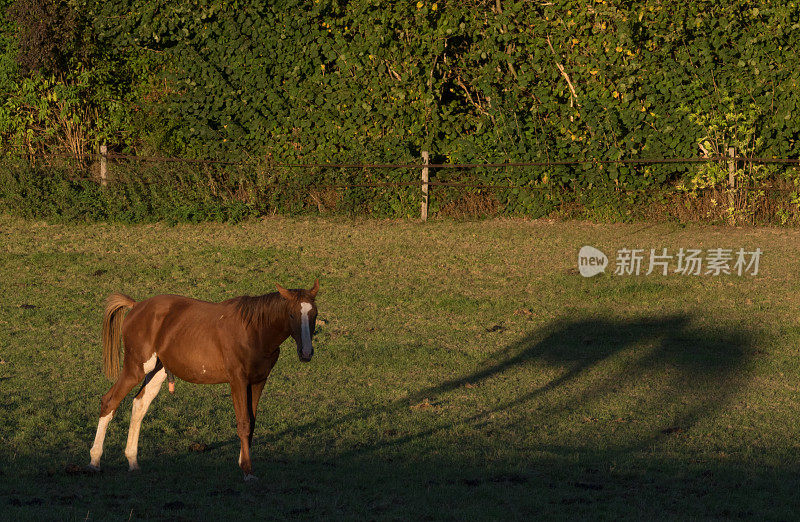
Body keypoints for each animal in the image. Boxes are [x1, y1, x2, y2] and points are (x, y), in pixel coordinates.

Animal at [88, 280, 318, 480]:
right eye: (291, 314)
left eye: (314, 314)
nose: (306, 352)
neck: (254, 330)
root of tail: (136, 306)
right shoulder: (238, 381)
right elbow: (243, 423)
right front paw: (247, 470)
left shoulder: (258, 382)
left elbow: (251, 423)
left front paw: (244, 464)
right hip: (136, 368)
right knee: (109, 402)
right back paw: (95, 461)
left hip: (158, 370)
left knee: (139, 405)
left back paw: (132, 461)